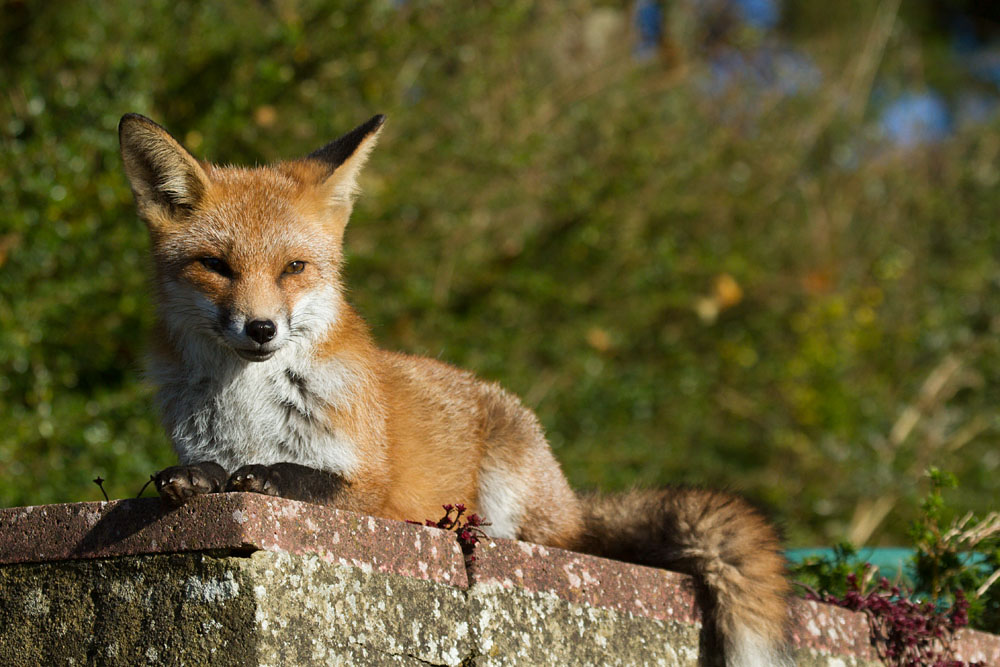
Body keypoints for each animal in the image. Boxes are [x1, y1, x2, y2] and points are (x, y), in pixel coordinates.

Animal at [119, 112, 790, 666]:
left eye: (294, 268)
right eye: (216, 266)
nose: (261, 328)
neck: (250, 408)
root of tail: (571, 502)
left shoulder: (376, 488)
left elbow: (309, 481)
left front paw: (266, 478)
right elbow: (201, 470)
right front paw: (196, 479)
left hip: (510, 498)